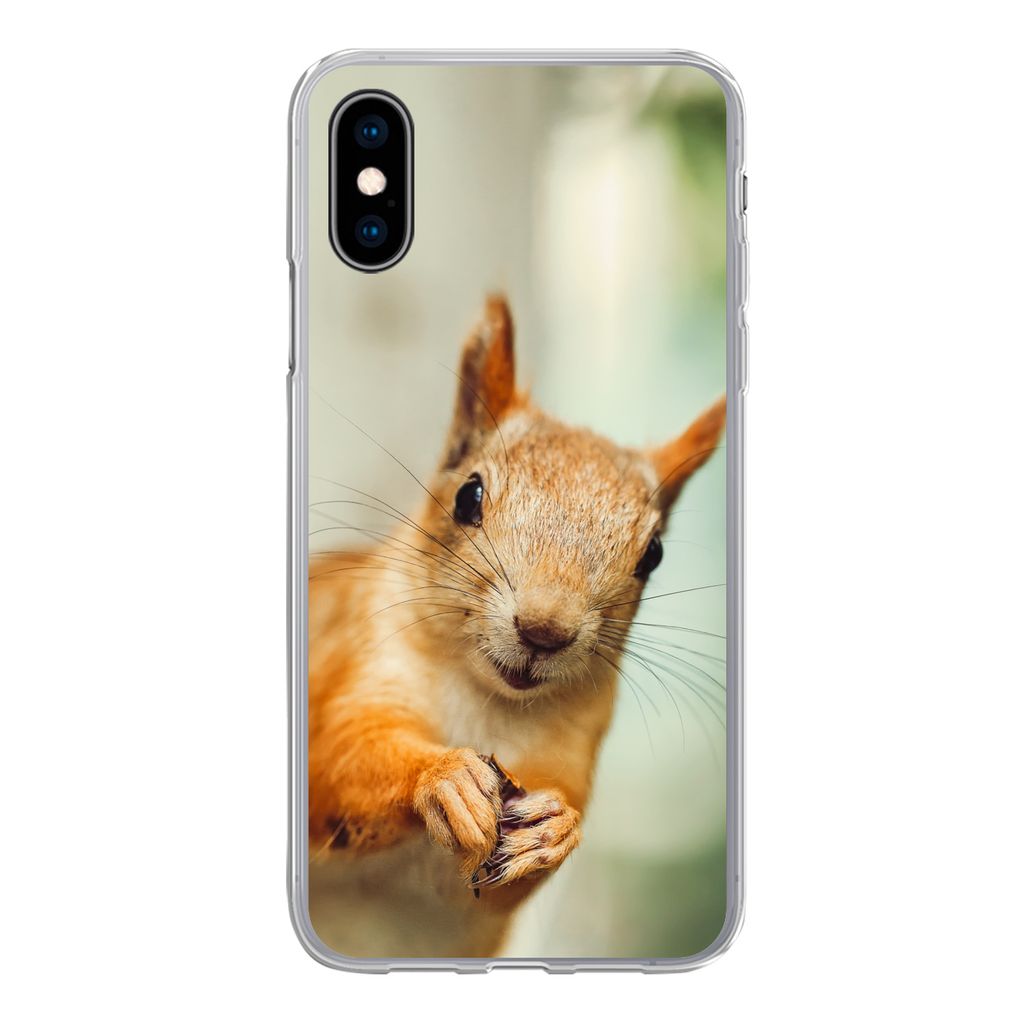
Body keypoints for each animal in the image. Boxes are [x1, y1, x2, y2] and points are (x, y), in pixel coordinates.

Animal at [307, 296, 726, 959]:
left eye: (653, 555)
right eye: (468, 496)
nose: (544, 630)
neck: (487, 703)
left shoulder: (568, 756)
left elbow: (500, 884)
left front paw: (555, 831)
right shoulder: (352, 663)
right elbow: (339, 759)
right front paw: (443, 777)